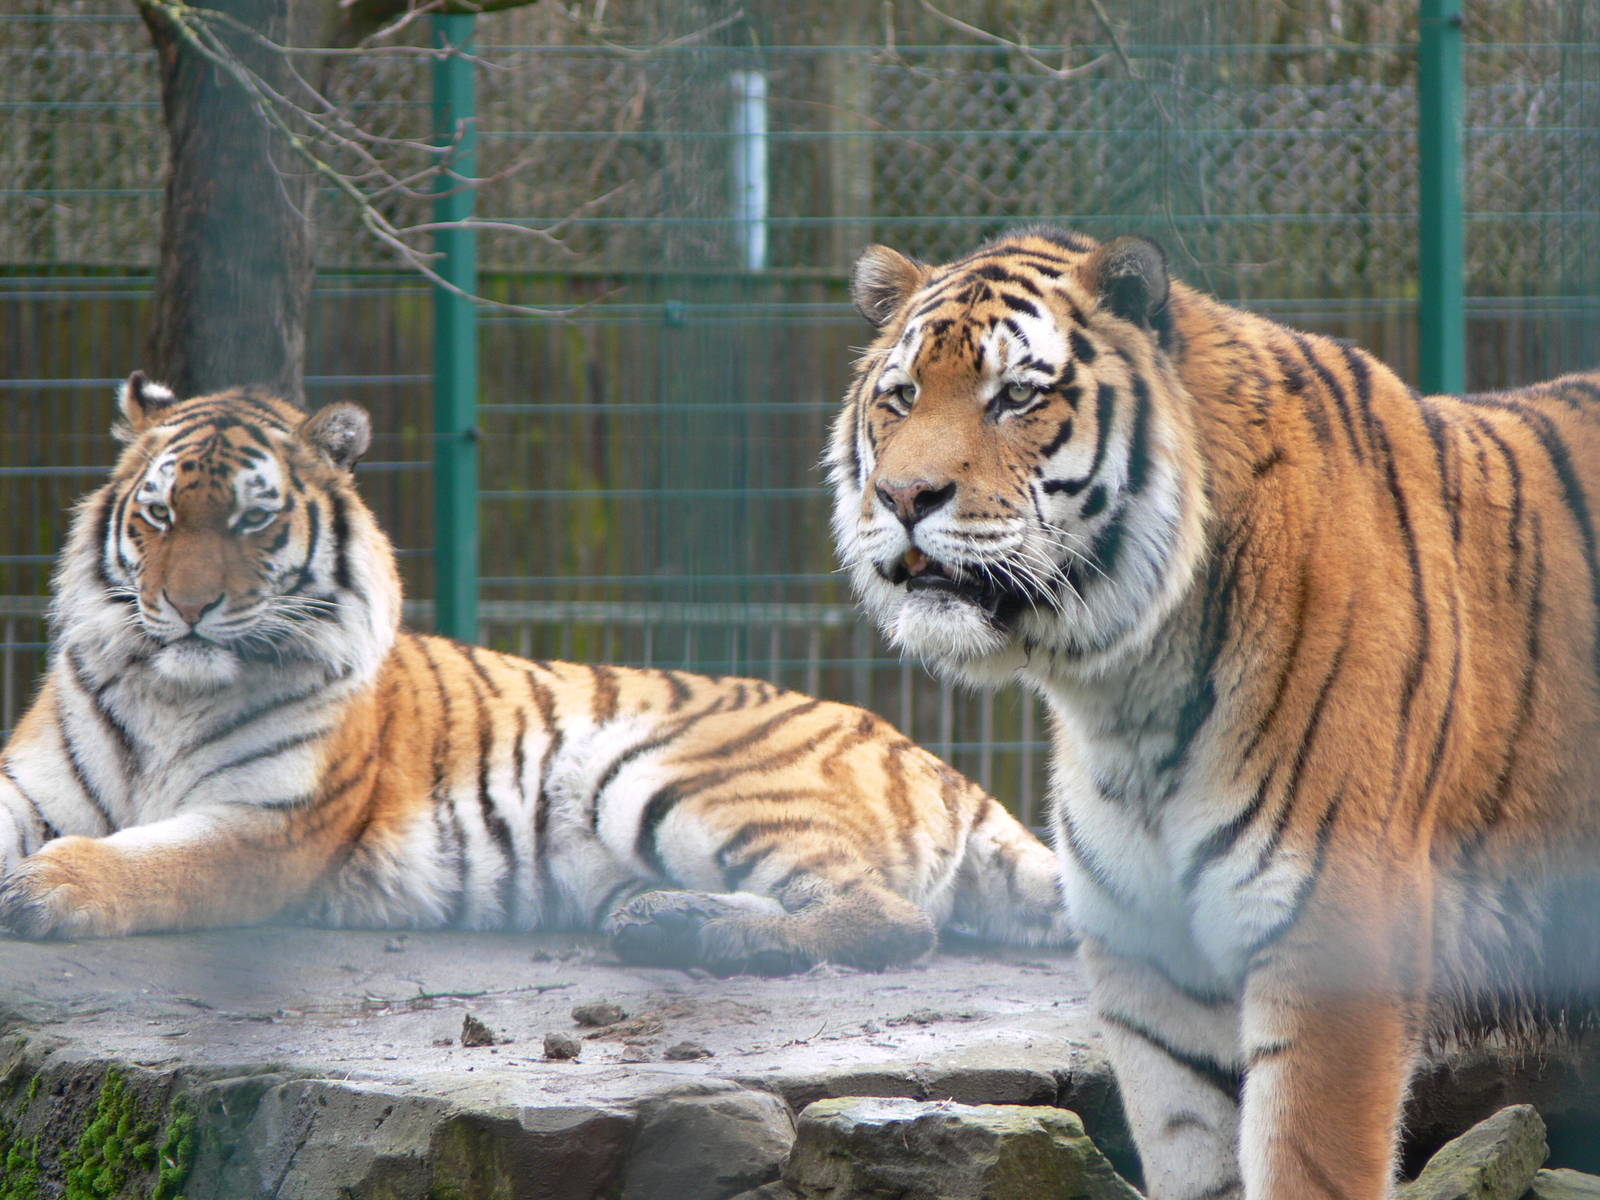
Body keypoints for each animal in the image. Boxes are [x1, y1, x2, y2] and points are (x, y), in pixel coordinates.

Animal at [0, 373, 1073, 977]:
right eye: (159, 516)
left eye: (253, 522)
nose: (186, 607)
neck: (171, 693)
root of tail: (943, 767)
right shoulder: (32, 783)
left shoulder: (268, 825)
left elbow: (153, 863)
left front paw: (43, 890)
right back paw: (660, 919)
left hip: (673, 776)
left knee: (888, 919)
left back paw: (695, 939)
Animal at [827, 225, 1600, 1199]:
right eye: (900, 398)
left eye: (1017, 397)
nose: (903, 498)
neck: (1127, 689)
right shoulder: (1151, 968)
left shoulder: (1337, 940)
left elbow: (1308, 1162)